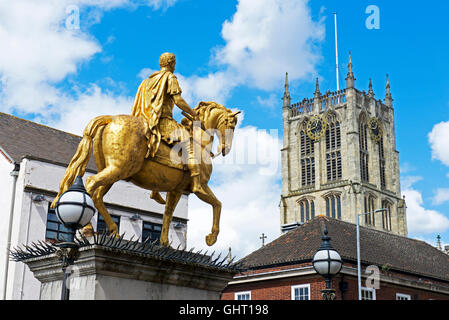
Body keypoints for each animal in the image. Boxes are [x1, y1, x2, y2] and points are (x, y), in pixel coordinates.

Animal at [50, 101, 240, 246]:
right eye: (231, 125)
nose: (226, 149)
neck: (199, 141)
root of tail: (111, 118)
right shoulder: (200, 188)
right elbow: (218, 204)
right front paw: (211, 238)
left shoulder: (176, 189)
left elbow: (168, 214)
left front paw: (165, 243)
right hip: (118, 169)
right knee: (90, 183)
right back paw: (89, 229)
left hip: (114, 172)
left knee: (97, 195)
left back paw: (113, 231)